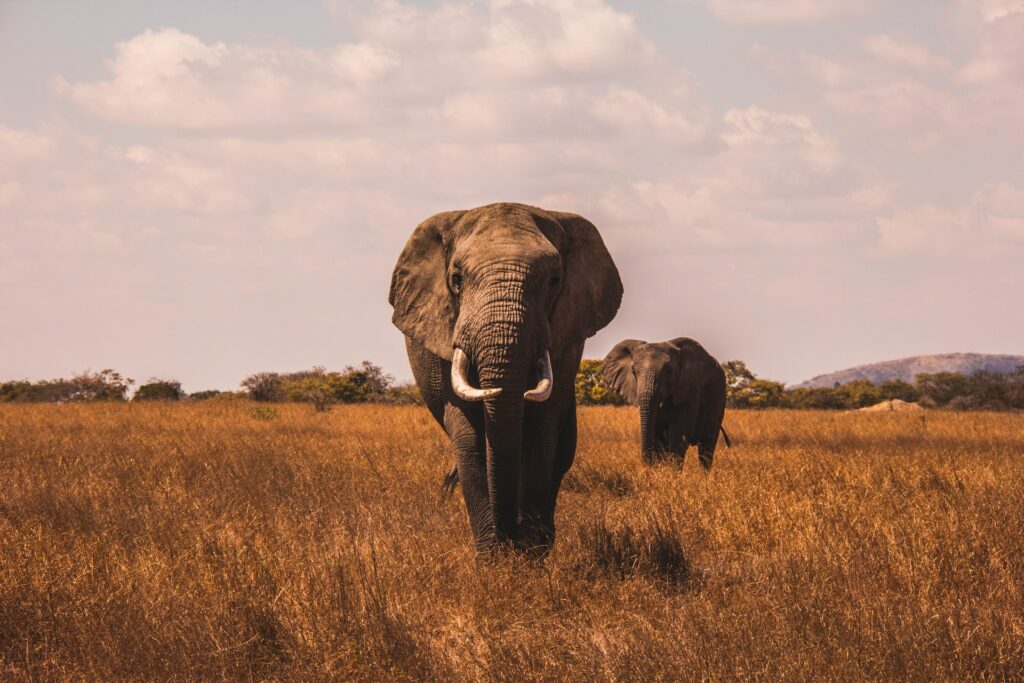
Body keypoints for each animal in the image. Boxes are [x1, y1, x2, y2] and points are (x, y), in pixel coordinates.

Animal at [385, 202, 618, 557]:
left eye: (554, 280)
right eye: (456, 279)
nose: (511, 539)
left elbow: (541, 431)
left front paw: (531, 555)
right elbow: (469, 436)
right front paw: (494, 559)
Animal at [602, 337, 733, 466]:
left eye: (669, 372)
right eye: (633, 372)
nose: (647, 464)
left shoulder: (690, 390)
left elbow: (678, 438)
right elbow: (659, 439)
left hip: (719, 400)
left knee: (707, 447)